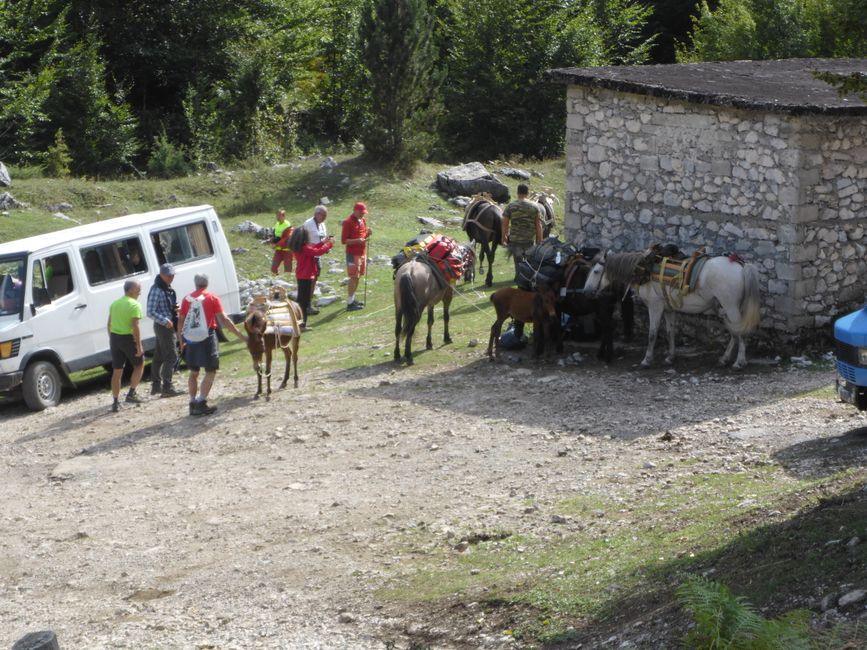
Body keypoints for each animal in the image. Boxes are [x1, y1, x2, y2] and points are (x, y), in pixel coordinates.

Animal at [588, 251, 764, 368]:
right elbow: (669, 332)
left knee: (741, 333)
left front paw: (647, 360)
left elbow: (652, 334)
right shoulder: (668, 309)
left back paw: (739, 362)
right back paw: (724, 359)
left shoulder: (655, 306)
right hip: (726, 309)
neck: (643, 270)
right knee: (735, 333)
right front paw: (670, 357)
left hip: (731, 307)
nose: (587, 290)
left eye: (596, 271)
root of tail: (741, 266)